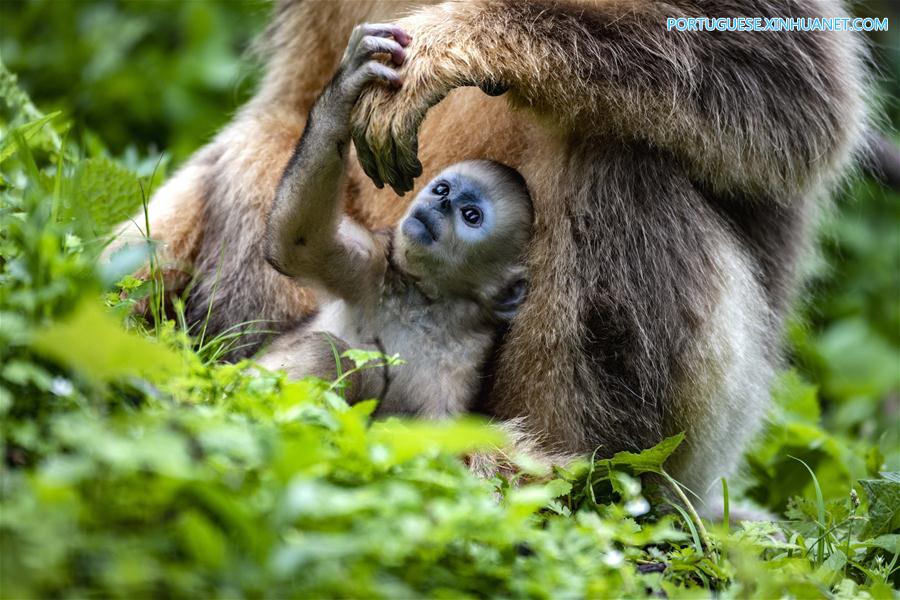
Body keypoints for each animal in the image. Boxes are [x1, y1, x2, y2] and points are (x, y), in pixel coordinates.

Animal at [256, 23, 534, 416]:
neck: (425, 304)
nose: (441, 204)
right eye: (443, 189)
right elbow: (297, 242)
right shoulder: (373, 265)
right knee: (327, 349)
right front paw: (346, 90)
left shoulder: (459, 375)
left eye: (471, 215)